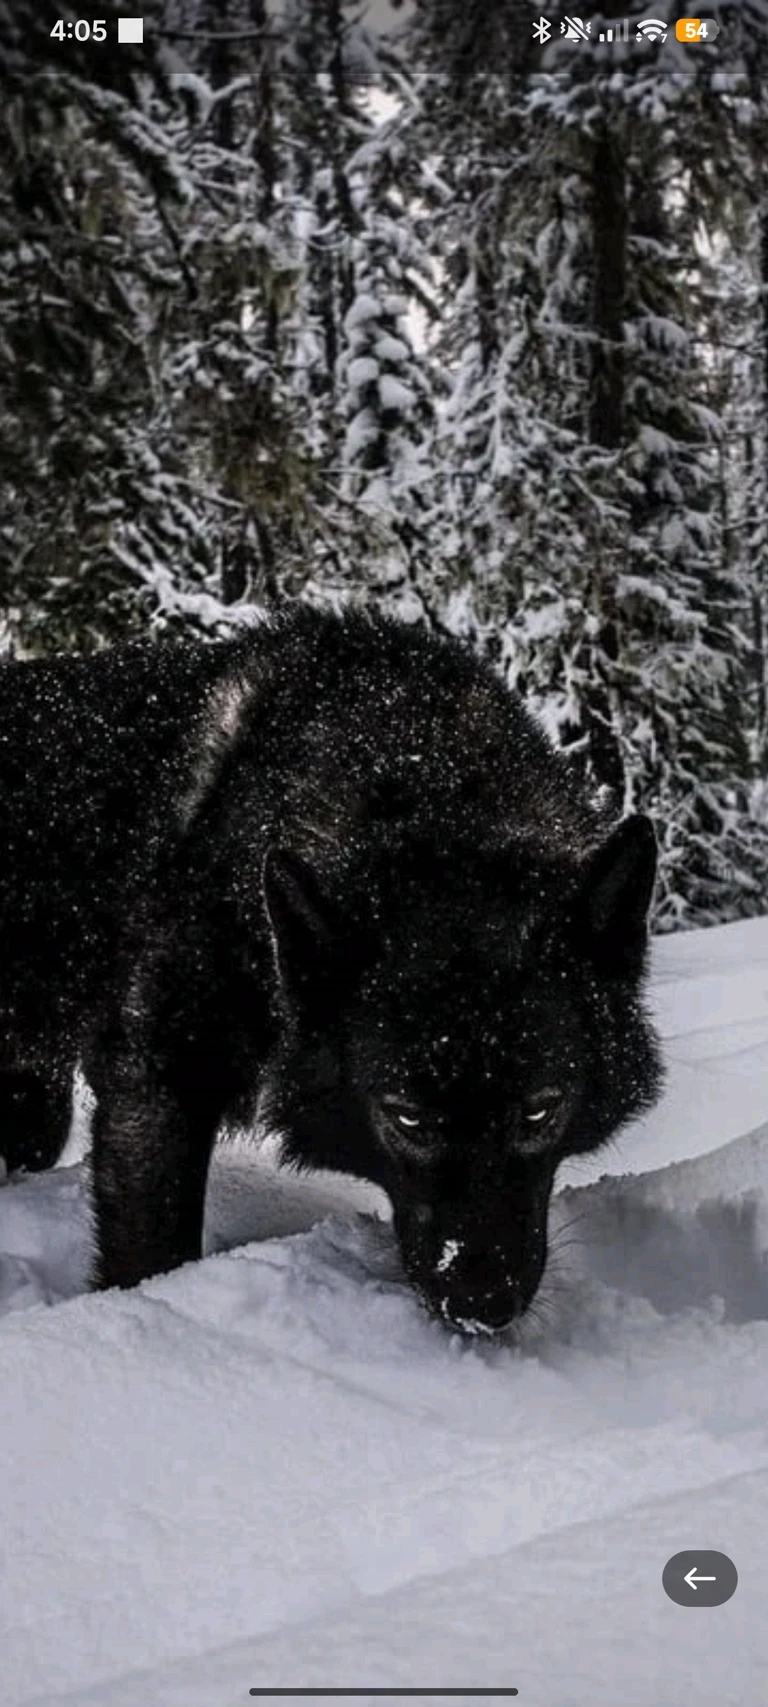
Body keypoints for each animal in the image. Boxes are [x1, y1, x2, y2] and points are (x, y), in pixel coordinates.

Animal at [0, 608, 662, 1332]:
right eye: (406, 1118)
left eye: (541, 1110)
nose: (479, 1304)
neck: (416, 768)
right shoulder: (159, 1086)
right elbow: (151, 1253)